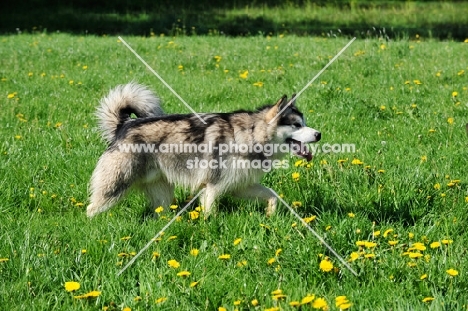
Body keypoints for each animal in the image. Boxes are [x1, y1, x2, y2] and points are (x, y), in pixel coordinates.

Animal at [86, 83, 320, 219]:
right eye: (296, 125)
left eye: (305, 123)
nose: (319, 134)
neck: (251, 135)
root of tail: (123, 126)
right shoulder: (212, 187)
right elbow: (210, 213)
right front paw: (211, 229)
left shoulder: (240, 184)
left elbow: (273, 195)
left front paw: (271, 214)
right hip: (116, 185)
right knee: (91, 209)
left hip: (161, 190)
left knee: (160, 211)